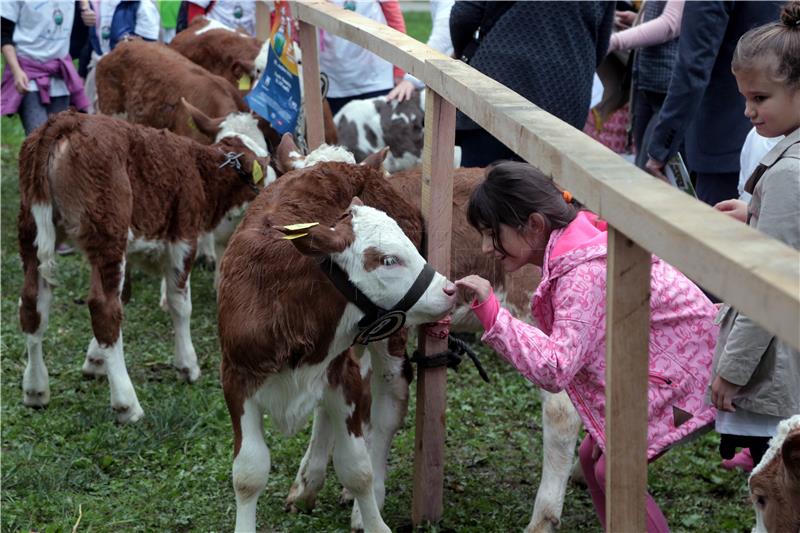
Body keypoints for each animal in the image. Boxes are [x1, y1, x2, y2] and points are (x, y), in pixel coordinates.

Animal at [18, 110, 268, 422]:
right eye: (265, 163)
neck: (198, 169)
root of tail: (67, 121)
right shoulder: (183, 238)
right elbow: (179, 304)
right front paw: (187, 364)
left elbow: (124, 295)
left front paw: (95, 360)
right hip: (107, 232)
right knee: (104, 309)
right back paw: (126, 404)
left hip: (32, 232)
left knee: (33, 303)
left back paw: (35, 389)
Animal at [217, 156, 456, 528]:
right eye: (388, 259)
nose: (448, 289)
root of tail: (361, 168)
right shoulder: (236, 378)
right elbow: (248, 473)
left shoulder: (342, 374)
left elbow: (357, 469)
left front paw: (374, 522)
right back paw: (307, 483)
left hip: (388, 338)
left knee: (389, 402)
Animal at [276, 139, 580, 532]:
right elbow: (333, 405)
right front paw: (308, 486)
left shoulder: (391, 330)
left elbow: (386, 404)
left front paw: (365, 504)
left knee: (562, 411)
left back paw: (543, 517)